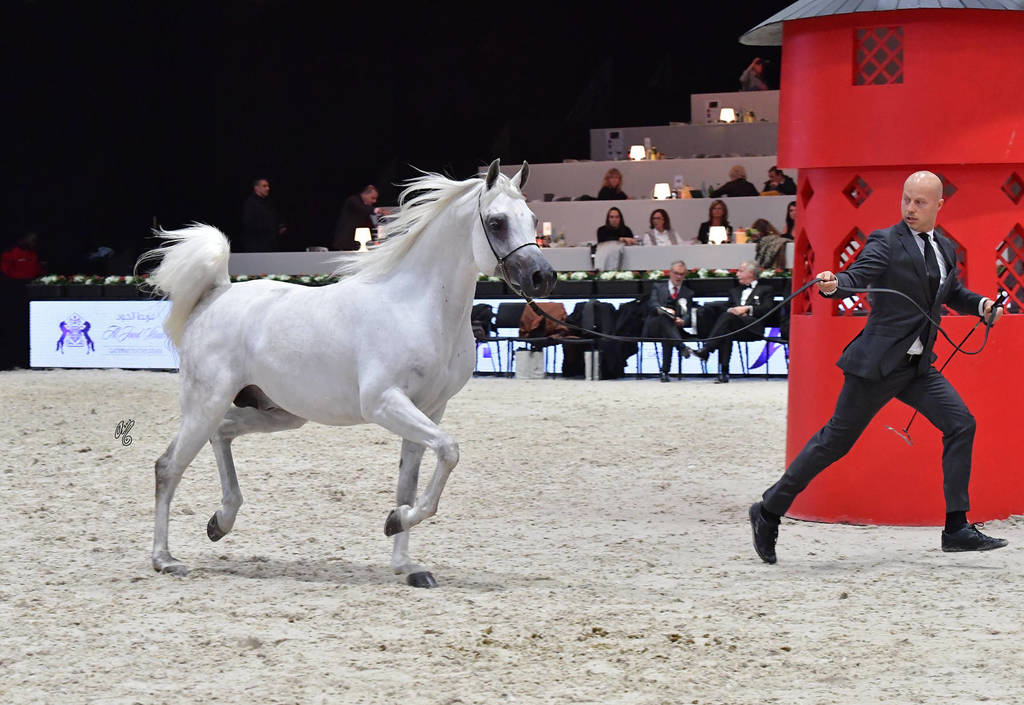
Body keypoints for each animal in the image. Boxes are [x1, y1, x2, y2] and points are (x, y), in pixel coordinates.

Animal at [138, 159, 555, 587]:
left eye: (532, 218)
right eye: (497, 222)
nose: (543, 277)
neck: (417, 307)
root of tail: (217, 293)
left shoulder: (430, 410)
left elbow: (410, 484)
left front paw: (406, 563)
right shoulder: (384, 404)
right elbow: (449, 451)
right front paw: (395, 524)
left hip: (279, 413)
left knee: (222, 434)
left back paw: (220, 522)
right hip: (207, 402)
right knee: (167, 467)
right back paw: (165, 559)